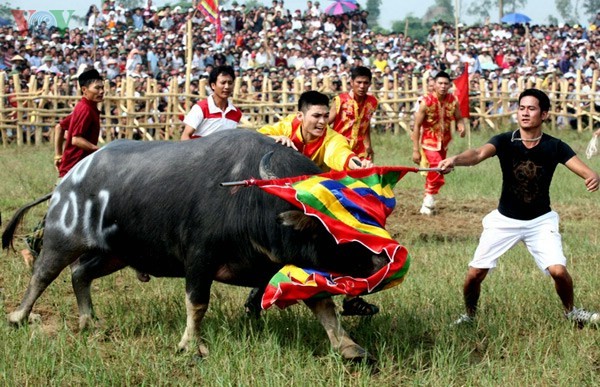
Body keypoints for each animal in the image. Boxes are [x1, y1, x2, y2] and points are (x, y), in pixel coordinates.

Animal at [3, 130, 390, 360]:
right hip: (63, 237)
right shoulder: (199, 259)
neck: (252, 202)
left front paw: (350, 347)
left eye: (368, 218)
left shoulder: (296, 266)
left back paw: (88, 321)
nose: (378, 262)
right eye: (327, 225)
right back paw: (19, 316)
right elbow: (197, 303)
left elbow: (324, 306)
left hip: (115, 253)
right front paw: (192, 345)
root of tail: (68, 180)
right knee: (43, 273)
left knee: (79, 274)